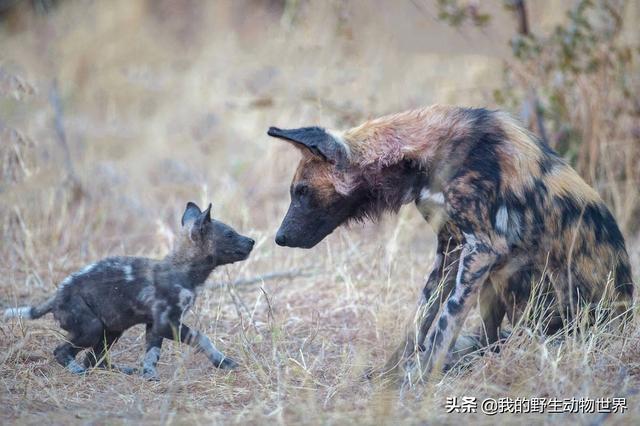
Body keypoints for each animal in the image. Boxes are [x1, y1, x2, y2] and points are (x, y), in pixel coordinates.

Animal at [5, 202, 255, 380]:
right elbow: (202, 338)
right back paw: (77, 370)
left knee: (94, 359)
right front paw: (222, 361)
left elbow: (151, 355)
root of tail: (56, 297)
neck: (184, 270)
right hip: (91, 328)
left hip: (112, 331)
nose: (252, 241)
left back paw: (119, 370)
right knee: (63, 352)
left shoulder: (155, 326)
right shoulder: (167, 323)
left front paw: (149, 375)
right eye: (230, 234)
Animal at [268, 105, 632, 382]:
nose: (279, 238)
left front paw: (418, 379)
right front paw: (391, 374)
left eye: (301, 191)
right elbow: (420, 319)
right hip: (497, 283)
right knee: (489, 339)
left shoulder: (481, 250)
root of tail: (624, 322)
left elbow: (444, 324)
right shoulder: (452, 251)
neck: (424, 156)